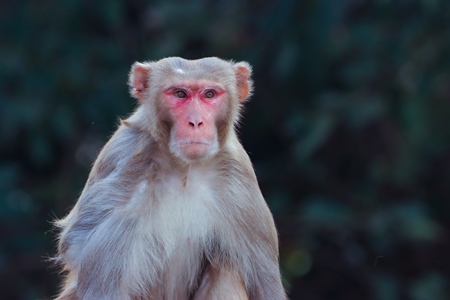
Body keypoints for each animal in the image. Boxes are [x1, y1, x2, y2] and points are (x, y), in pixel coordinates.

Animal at [52, 56, 284, 300]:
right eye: (180, 94)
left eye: (209, 94)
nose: (196, 122)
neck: (185, 169)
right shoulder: (125, 166)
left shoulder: (238, 180)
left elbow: (266, 287)